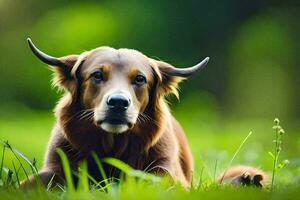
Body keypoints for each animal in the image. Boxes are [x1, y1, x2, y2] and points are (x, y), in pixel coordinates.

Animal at [22, 38, 266, 189]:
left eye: (140, 79)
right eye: (97, 75)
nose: (118, 103)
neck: (112, 146)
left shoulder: (165, 171)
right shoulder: (55, 167)